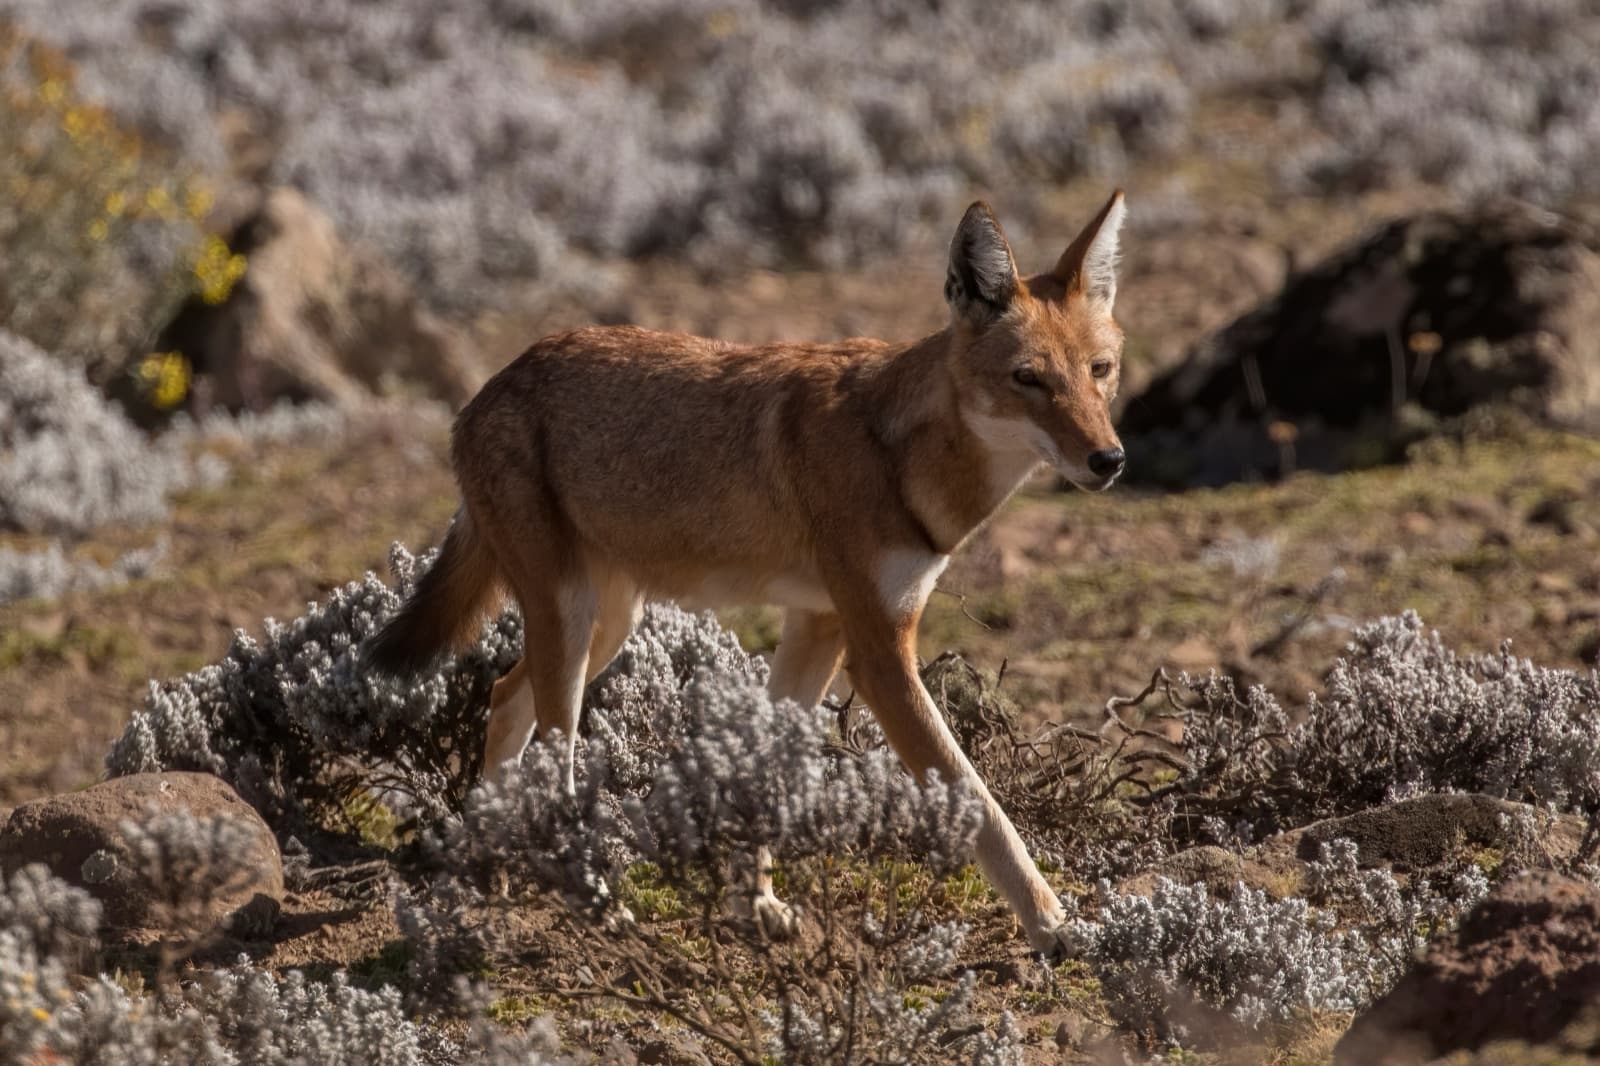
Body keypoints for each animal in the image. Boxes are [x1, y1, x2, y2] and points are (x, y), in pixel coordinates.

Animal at [365, 191, 1128, 955]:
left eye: (1101, 371)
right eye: (1028, 378)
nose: (1110, 460)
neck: (901, 455)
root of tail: (489, 387)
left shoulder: (820, 627)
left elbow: (766, 772)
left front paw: (755, 903)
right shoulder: (880, 654)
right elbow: (979, 801)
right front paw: (1054, 924)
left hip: (605, 628)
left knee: (502, 696)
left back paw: (491, 863)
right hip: (575, 626)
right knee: (553, 758)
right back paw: (595, 900)